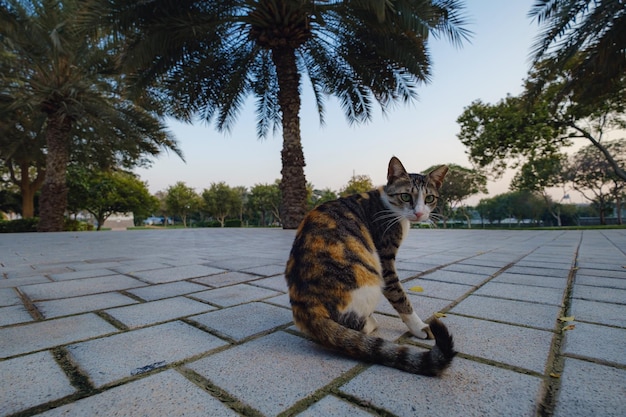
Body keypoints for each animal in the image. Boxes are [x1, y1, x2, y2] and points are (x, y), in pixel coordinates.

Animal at [284, 155, 454, 374]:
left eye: (429, 199)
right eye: (406, 196)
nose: (418, 213)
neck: (389, 204)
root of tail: (307, 307)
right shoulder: (385, 259)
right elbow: (400, 297)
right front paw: (419, 327)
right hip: (371, 277)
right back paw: (370, 323)